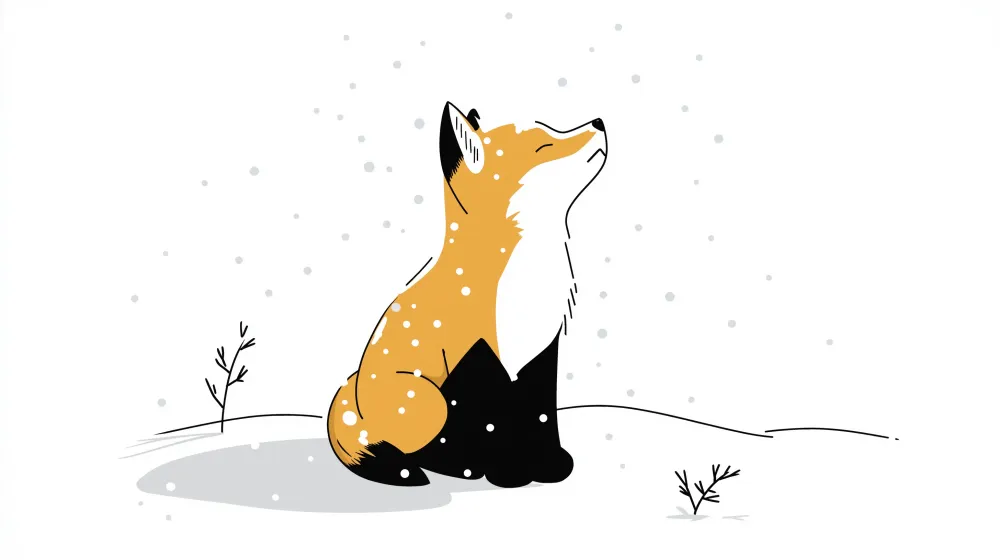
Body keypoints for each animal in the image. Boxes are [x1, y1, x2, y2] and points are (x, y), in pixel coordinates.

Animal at [327, 101, 608, 488]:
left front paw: (550, 465)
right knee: (418, 448)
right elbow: (495, 421)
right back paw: (449, 467)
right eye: (544, 145)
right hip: (429, 400)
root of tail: (352, 398)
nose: (600, 122)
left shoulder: (541, 355)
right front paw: (509, 473)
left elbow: (541, 415)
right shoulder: (484, 355)